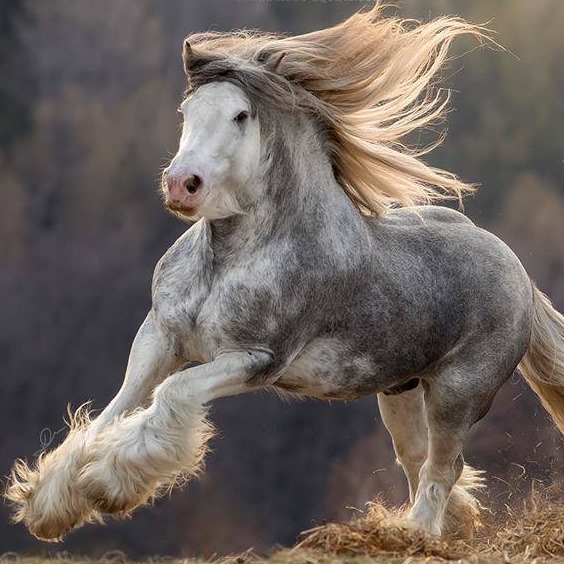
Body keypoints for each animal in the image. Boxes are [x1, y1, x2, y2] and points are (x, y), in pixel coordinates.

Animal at [5, 3, 564, 540]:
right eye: (186, 111)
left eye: (240, 115)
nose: (182, 184)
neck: (226, 260)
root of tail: (519, 274)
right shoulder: (160, 336)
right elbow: (111, 413)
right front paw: (49, 507)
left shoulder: (254, 358)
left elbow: (172, 395)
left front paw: (105, 485)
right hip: (399, 391)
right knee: (417, 458)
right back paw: (439, 527)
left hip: (458, 392)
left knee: (443, 468)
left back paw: (417, 534)